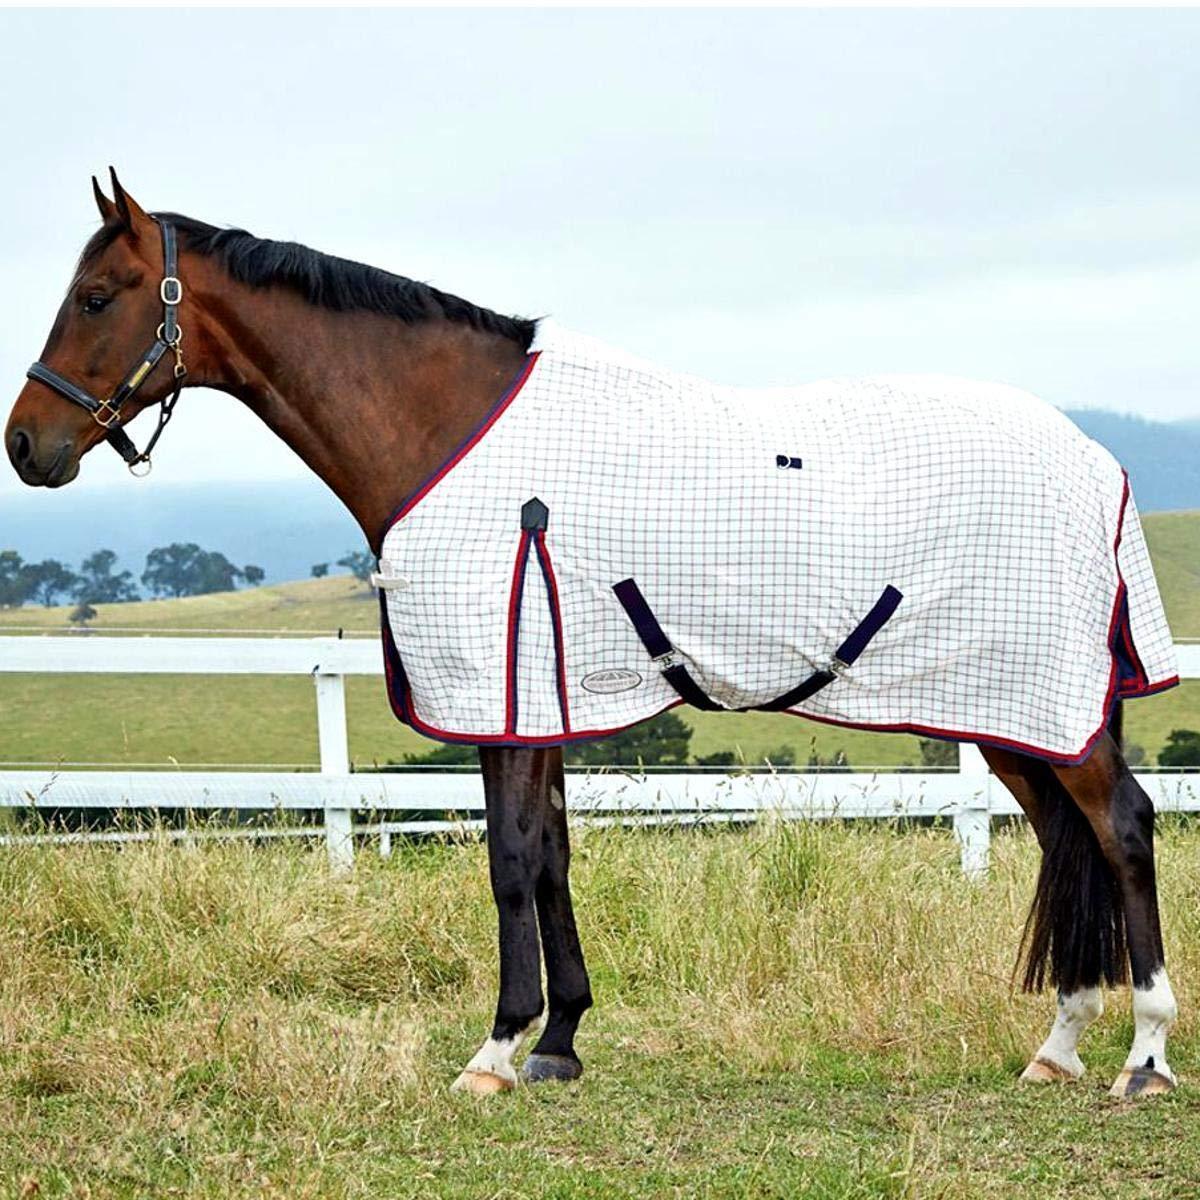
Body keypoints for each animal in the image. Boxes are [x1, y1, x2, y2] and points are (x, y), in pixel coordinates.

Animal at [4, 174, 1176, 1099]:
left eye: (96, 298)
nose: (26, 444)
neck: (447, 427)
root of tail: (1097, 464)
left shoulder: (501, 695)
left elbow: (512, 863)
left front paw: (496, 1049)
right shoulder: (547, 696)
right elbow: (557, 857)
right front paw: (561, 1039)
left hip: (1044, 711)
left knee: (1120, 824)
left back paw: (1145, 1055)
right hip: (1011, 712)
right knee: (1067, 840)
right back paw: (1059, 1046)